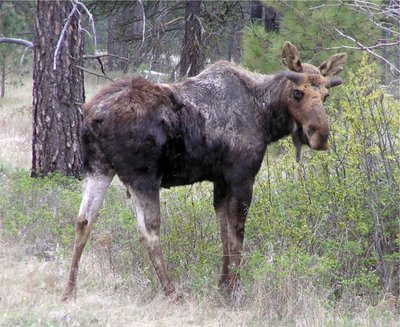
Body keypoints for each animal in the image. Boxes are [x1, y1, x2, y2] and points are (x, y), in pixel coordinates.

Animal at [61, 41, 346, 302]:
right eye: (298, 93)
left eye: (326, 95)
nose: (321, 136)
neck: (266, 116)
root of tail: (91, 116)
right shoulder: (242, 177)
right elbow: (237, 234)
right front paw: (234, 290)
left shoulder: (220, 181)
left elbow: (223, 234)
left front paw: (223, 285)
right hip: (142, 176)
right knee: (148, 232)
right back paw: (171, 292)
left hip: (98, 168)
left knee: (83, 221)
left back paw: (69, 291)